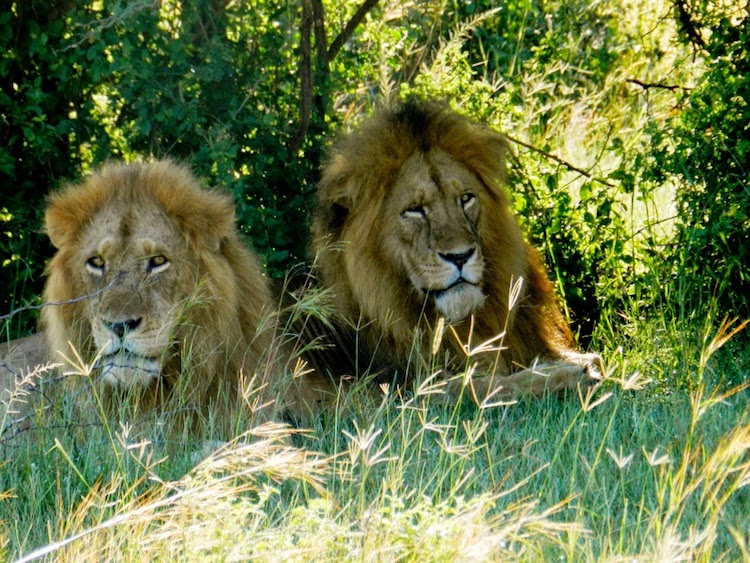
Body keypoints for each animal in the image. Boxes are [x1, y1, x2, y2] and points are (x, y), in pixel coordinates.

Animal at [302, 98, 604, 406]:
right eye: (415, 210)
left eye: (465, 199)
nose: (459, 256)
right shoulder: (403, 396)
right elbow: (488, 386)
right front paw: (574, 373)